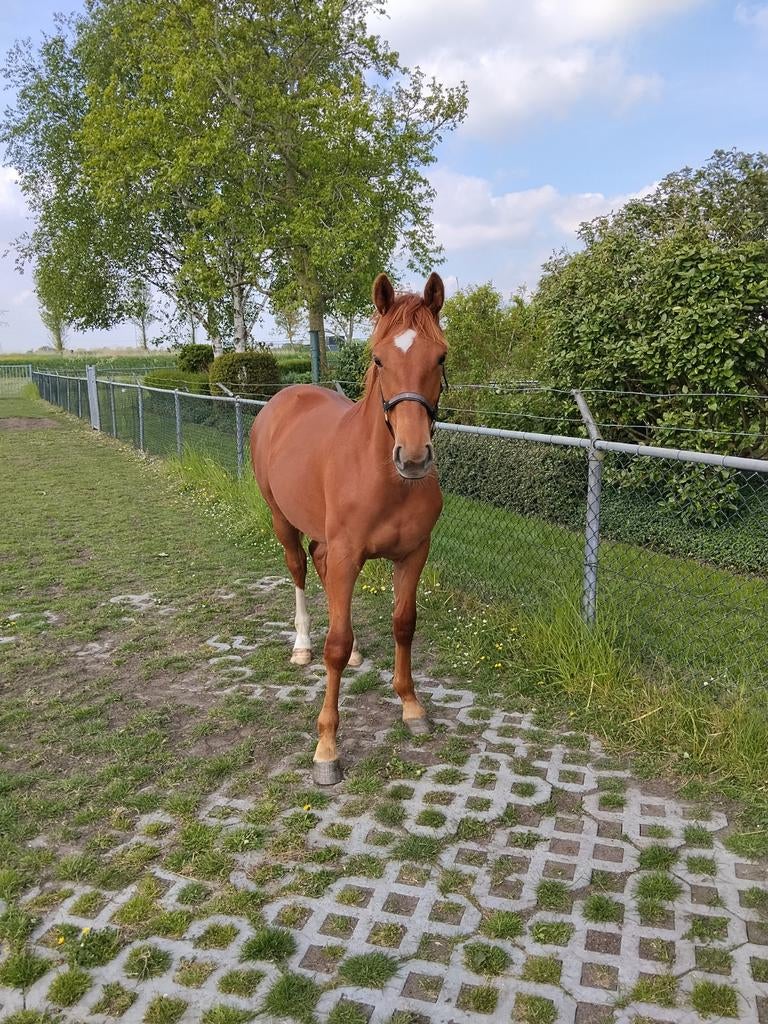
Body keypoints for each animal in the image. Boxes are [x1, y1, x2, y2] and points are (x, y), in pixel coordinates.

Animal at [250, 272, 448, 784]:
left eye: (440, 356)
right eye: (378, 357)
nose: (413, 457)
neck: (383, 478)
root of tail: (283, 399)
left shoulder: (414, 552)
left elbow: (404, 624)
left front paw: (412, 706)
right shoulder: (346, 554)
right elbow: (333, 648)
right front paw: (326, 748)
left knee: (318, 566)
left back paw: (358, 650)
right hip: (282, 521)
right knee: (300, 570)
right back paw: (301, 646)